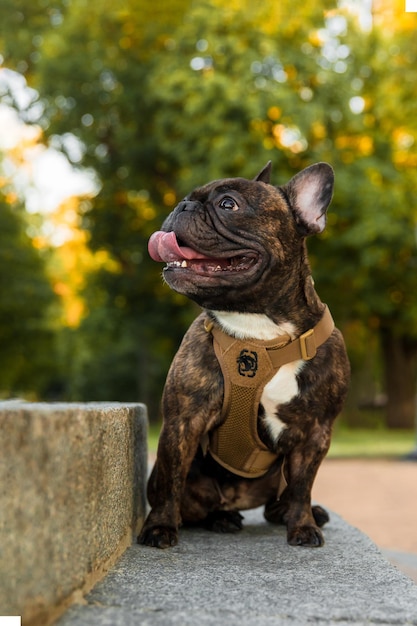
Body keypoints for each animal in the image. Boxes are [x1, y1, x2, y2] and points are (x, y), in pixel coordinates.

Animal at [138, 161, 350, 544]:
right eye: (187, 198)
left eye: (228, 205)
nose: (182, 206)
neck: (261, 329)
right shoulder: (182, 421)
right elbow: (170, 480)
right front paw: (159, 527)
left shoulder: (316, 432)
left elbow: (303, 485)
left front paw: (303, 526)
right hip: (201, 487)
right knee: (194, 501)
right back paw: (222, 518)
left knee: (280, 500)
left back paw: (303, 513)